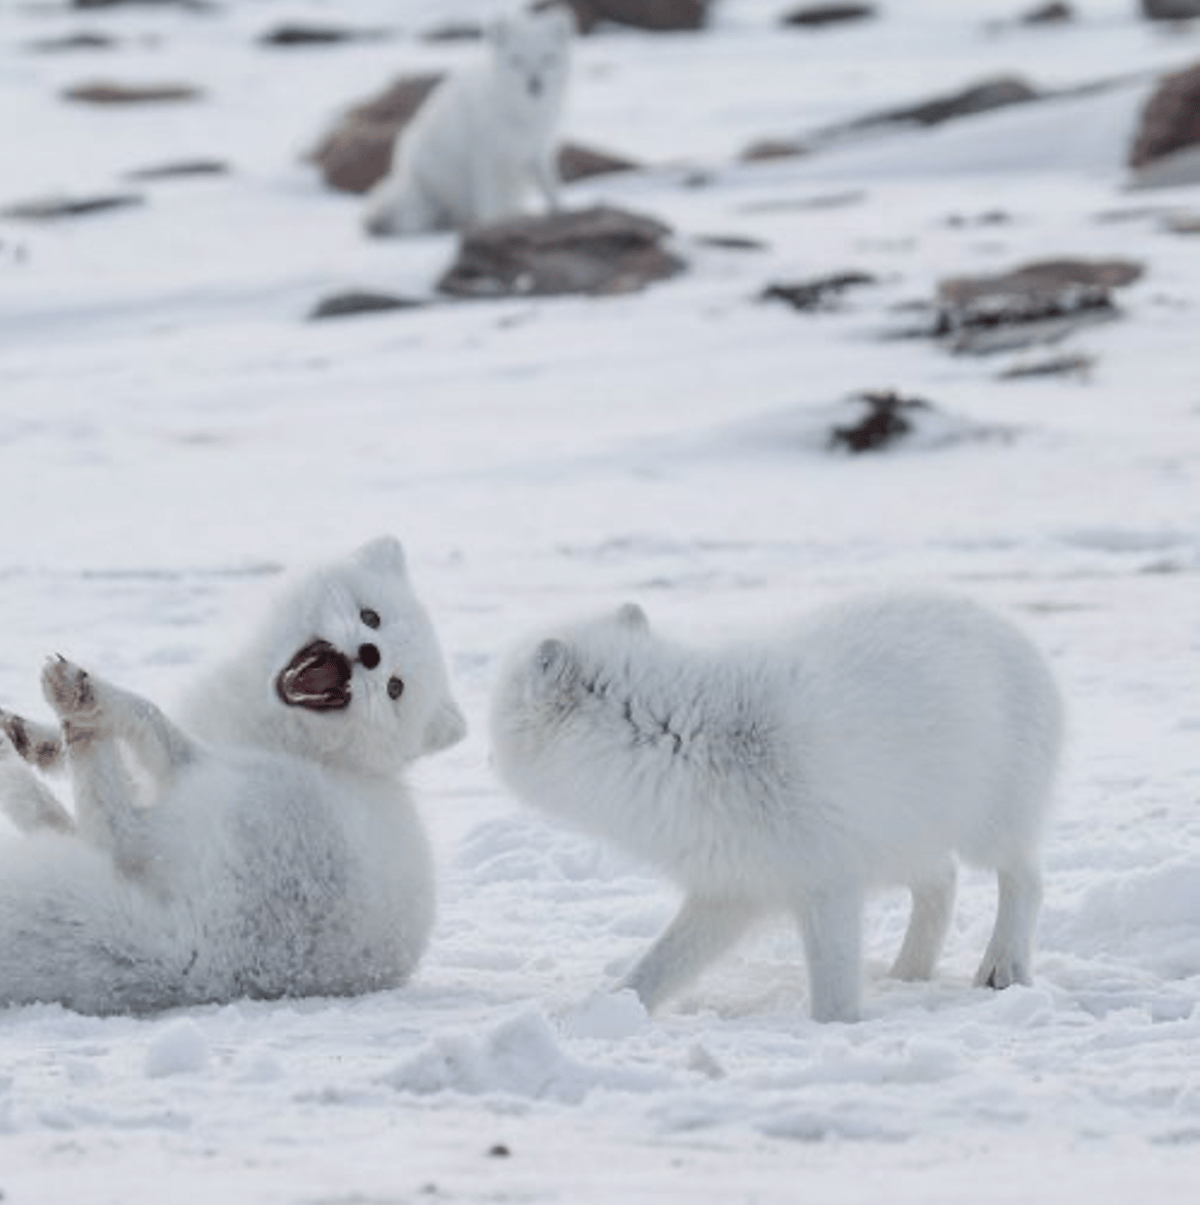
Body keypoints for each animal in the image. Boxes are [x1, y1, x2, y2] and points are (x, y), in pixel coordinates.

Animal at [0, 539, 467, 1017]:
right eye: (371, 617)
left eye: (395, 689)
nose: (372, 654)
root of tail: (206, 964)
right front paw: (37, 740)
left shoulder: (193, 754)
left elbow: (148, 715)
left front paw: (85, 705)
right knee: (74, 828)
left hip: (232, 790)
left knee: (111, 827)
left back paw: (74, 703)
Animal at [363, 5, 573, 237]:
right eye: (516, 60)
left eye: (548, 58)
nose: (535, 84)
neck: (522, 115)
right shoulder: (485, 158)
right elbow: (487, 204)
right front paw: (491, 227)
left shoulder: (539, 151)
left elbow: (551, 188)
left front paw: (560, 213)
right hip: (422, 195)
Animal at [491, 590, 1065, 1017]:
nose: (486, 745)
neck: (684, 740)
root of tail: (1010, 628)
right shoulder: (730, 887)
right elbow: (659, 966)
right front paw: (605, 1012)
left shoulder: (825, 882)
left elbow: (833, 988)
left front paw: (838, 1030)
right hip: (901, 837)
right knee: (942, 882)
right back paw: (909, 973)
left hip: (987, 827)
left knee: (1025, 880)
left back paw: (1002, 967)